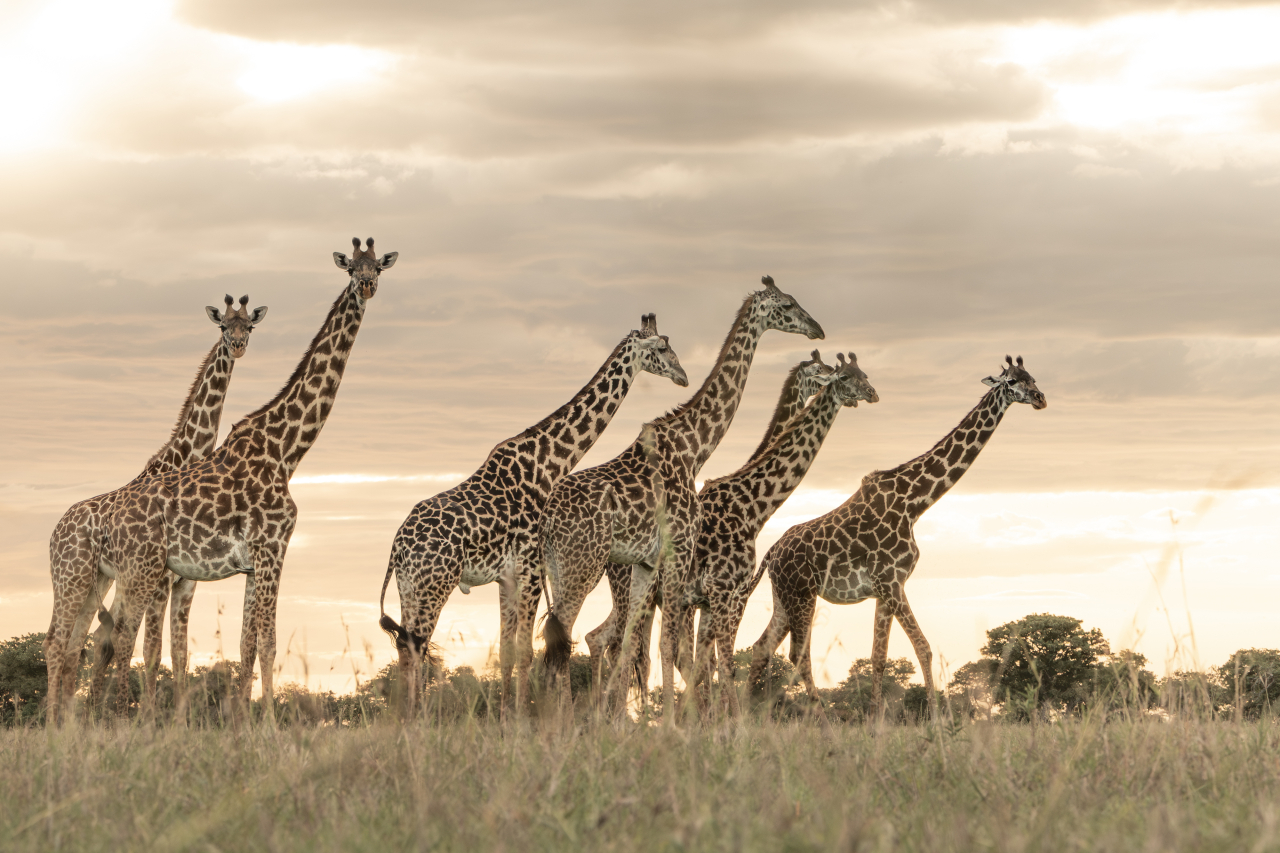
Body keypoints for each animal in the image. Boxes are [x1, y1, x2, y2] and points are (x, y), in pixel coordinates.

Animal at [44, 295, 267, 724]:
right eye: (222, 327)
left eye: (249, 326)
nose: (237, 346)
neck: (182, 460)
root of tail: (54, 531)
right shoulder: (161, 580)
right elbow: (151, 648)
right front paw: (146, 720)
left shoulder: (185, 581)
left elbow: (176, 653)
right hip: (69, 579)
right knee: (58, 643)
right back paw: (56, 722)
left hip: (97, 582)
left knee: (81, 643)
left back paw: (72, 721)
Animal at [89, 238, 395, 721]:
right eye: (351, 268)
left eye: (378, 266)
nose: (366, 286)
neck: (286, 451)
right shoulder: (272, 550)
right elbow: (265, 643)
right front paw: (267, 723)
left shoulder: (249, 563)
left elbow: (243, 644)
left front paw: (239, 721)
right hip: (140, 575)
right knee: (114, 636)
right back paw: (114, 716)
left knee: (107, 635)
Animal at [377, 313, 689, 716]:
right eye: (663, 347)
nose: (683, 376)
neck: (547, 465)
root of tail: (397, 548)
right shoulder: (529, 569)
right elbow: (525, 651)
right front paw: (521, 718)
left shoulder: (508, 577)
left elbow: (508, 649)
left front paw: (505, 717)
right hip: (434, 585)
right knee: (415, 646)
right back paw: (416, 718)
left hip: (410, 588)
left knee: (405, 647)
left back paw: (407, 717)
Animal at [540, 276, 825, 717]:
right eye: (789, 304)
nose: (818, 329)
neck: (694, 448)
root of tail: (547, 519)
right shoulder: (696, 568)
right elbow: (682, 651)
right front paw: (682, 724)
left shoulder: (656, 567)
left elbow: (679, 654)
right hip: (582, 567)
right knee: (572, 638)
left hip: (561, 570)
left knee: (574, 639)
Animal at [747, 355, 1047, 721]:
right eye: (1011, 382)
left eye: (1033, 377)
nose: (1040, 398)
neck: (914, 502)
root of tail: (771, 554)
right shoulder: (892, 582)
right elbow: (923, 647)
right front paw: (938, 719)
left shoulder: (885, 587)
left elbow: (879, 656)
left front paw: (876, 720)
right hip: (802, 595)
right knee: (797, 654)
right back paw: (822, 721)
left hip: (783, 598)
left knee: (761, 647)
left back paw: (742, 714)